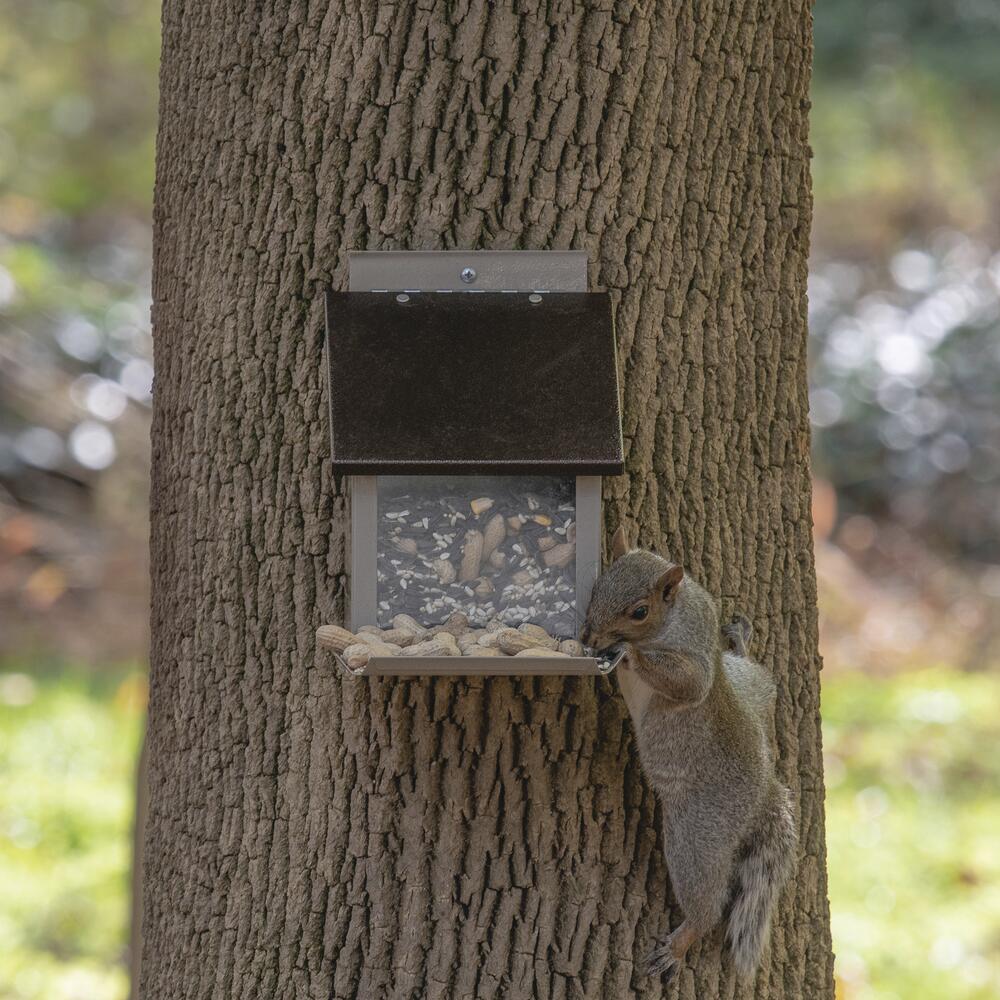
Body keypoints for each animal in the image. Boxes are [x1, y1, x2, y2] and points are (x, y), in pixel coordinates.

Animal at [584, 528, 792, 980]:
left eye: (639, 611)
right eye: (597, 585)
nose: (589, 638)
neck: (674, 615)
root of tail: (765, 790)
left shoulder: (694, 662)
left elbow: (688, 684)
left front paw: (628, 654)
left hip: (697, 838)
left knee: (707, 902)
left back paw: (680, 944)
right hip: (748, 685)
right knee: (764, 685)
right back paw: (740, 642)